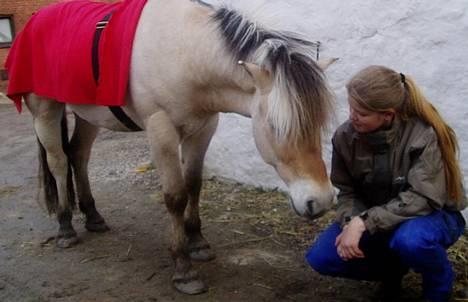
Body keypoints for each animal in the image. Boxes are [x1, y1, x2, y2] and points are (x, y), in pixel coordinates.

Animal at [7, 0, 336, 294]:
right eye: (276, 127)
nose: (320, 200)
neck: (186, 52)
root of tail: (35, 20)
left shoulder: (204, 128)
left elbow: (193, 185)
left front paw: (197, 242)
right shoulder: (161, 130)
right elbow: (176, 196)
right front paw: (183, 268)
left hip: (89, 112)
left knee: (79, 155)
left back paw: (93, 216)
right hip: (46, 110)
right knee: (59, 162)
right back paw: (65, 226)